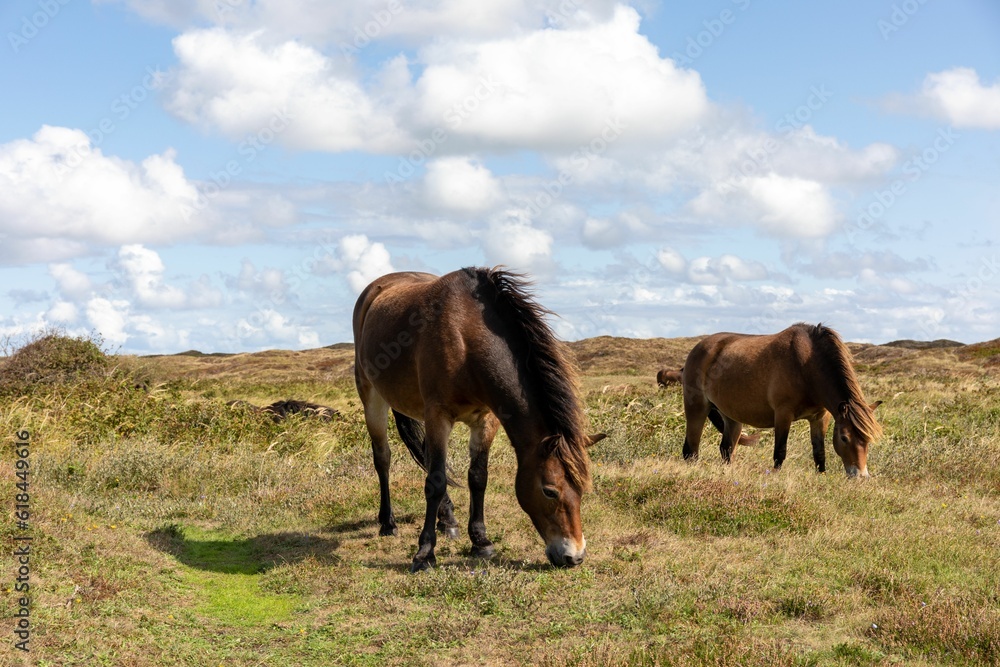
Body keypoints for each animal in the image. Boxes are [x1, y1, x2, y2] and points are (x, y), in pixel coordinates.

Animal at [353, 267, 605, 572]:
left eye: (581, 490)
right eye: (549, 491)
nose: (574, 556)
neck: (467, 337)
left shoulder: (486, 420)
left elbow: (477, 477)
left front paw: (481, 541)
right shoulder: (438, 416)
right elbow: (435, 482)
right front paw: (424, 553)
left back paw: (447, 520)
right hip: (371, 395)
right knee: (383, 458)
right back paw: (388, 523)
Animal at [681, 323, 882, 477]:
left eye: (867, 440)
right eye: (844, 438)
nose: (861, 476)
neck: (805, 365)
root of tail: (700, 347)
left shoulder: (819, 417)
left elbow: (819, 453)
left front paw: (822, 477)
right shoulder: (783, 415)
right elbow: (780, 451)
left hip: (731, 417)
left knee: (727, 449)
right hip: (696, 408)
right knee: (691, 450)